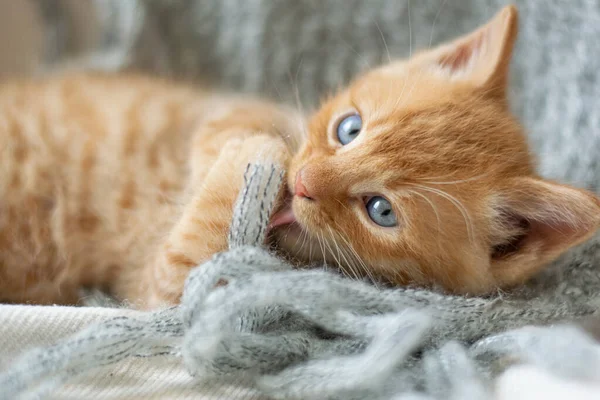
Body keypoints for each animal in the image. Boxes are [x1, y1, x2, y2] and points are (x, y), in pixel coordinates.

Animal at [0, 6, 596, 308]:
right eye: (348, 129)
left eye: (380, 210)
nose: (302, 180)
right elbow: (228, 120)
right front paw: (260, 145)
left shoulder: (164, 294)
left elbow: (185, 266)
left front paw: (254, 154)